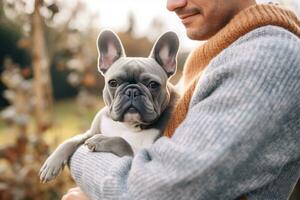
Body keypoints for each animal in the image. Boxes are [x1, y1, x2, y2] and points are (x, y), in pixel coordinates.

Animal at [38, 29, 179, 183]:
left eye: (153, 85)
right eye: (113, 83)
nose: (132, 91)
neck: (127, 125)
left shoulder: (139, 161)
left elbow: (122, 141)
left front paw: (100, 140)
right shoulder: (90, 132)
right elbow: (71, 140)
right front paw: (52, 162)